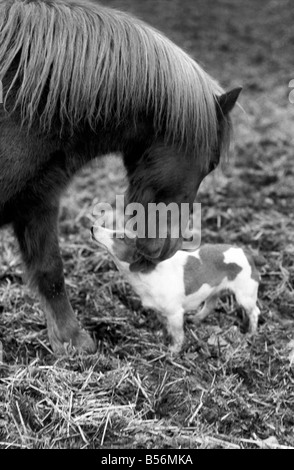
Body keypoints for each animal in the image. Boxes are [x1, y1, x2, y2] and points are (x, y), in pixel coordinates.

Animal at [90, 227, 260, 352]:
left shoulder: (175, 314)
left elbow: (178, 335)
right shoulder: (161, 312)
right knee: (210, 305)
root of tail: (247, 253)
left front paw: (173, 351)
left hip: (245, 295)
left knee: (255, 312)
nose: (93, 227)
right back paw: (196, 319)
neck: (149, 275)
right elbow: (168, 328)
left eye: (120, 237)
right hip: (214, 291)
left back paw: (250, 334)